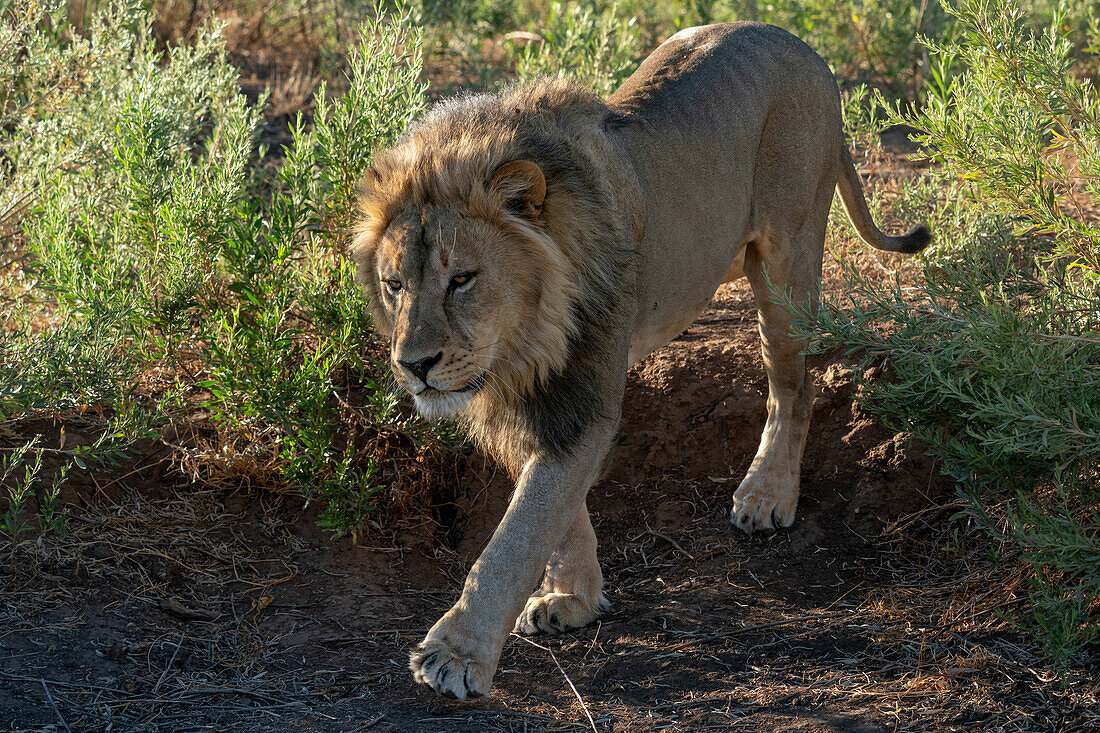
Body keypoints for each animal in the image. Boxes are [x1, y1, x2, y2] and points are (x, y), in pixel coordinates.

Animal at [349, 21, 928, 695]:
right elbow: (553, 510)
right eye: (394, 285)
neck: (524, 340)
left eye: (462, 279)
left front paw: (456, 654)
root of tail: (794, 40)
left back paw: (767, 495)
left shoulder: (585, 398)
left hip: (788, 257)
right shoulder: (529, 401)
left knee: (795, 384)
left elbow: (517, 536)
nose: (414, 365)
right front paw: (574, 600)